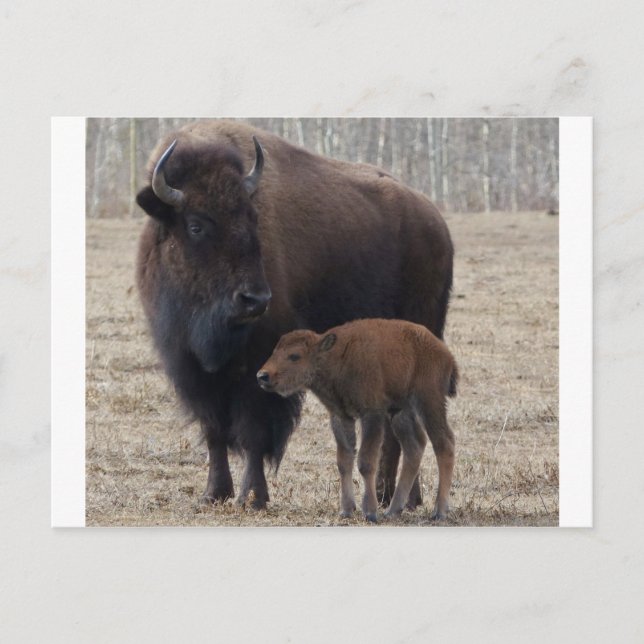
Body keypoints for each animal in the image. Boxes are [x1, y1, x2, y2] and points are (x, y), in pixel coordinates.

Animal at [257, 319, 458, 521]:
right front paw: (346, 510)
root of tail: (446, 354)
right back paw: (393, 510)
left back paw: (439, 512)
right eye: (274, 351)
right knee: (414, 447)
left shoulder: (371, 414)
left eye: (295, 356)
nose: (263, 376)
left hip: (429, 402)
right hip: (401, 413)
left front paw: (369, 512)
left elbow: (366, 461)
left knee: (444, 444)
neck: (335, 356)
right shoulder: (341, 416)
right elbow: (344, 461)